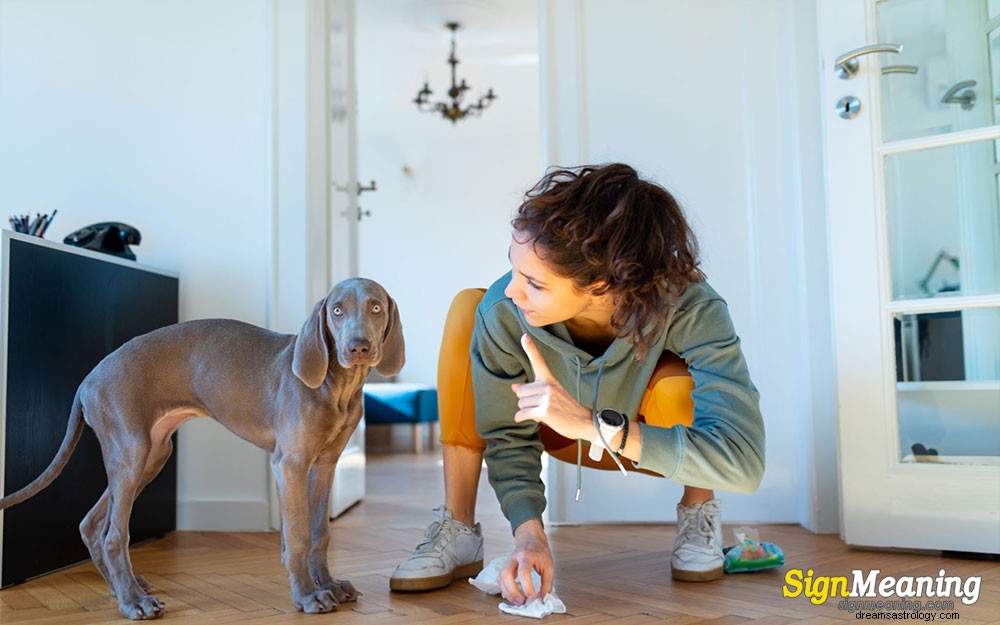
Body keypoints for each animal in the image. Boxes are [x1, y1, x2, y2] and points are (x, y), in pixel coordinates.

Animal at [0, 276, 402, 620]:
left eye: (375, 307)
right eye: (337, 310)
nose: (358, 347)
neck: (338, 387)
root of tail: (88, 378)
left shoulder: (325, 465)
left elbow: (320, 532)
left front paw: (329, 585)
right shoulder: (291, 463)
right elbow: (300, 535)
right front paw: (307, 595)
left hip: (151, 455)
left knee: (92, 523)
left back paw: (124, 589)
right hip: (131, 452)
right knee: (114, 534)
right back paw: (133, 602)